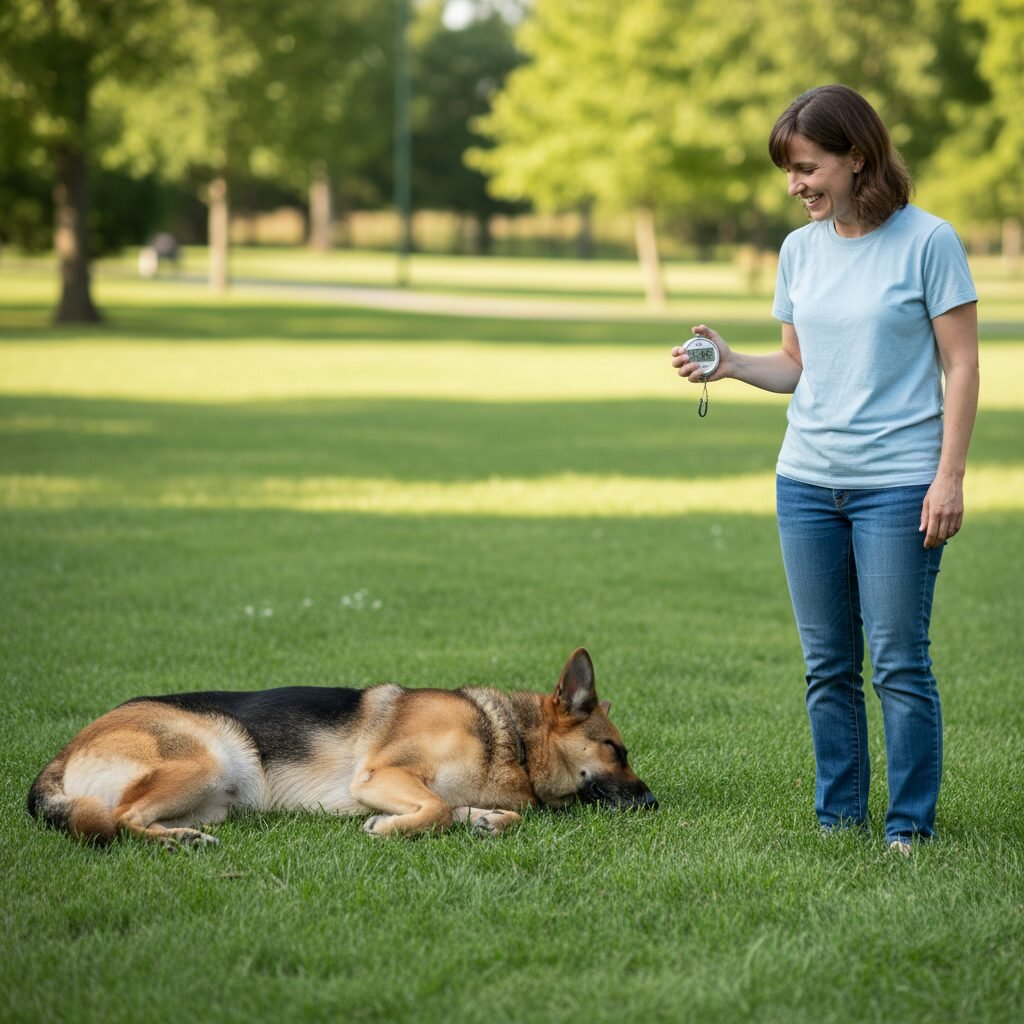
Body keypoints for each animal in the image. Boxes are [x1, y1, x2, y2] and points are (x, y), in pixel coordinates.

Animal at [28, 648, 657, 847]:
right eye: (616, 751)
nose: (653, 803)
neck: (511, 740)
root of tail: (63, 753)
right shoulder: (379, 775)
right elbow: (435, 809)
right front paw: (389, 829)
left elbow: (471, 811)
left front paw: (485, 820)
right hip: (208, 757)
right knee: (116, 818)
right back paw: (177, 843)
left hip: (217, 801)